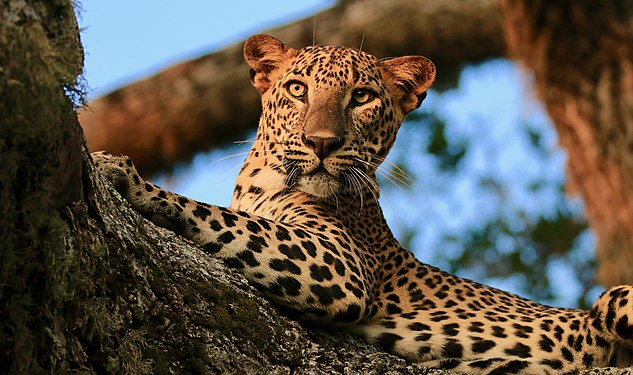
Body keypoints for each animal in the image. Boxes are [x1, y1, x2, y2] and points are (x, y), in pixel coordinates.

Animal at [92, 33, 632, 374]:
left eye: (362, 97)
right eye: (297, 89)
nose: (321, 143)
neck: (259, 184)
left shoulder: (337, 266)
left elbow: (218, 215)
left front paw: (125, 175)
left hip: (614, 298)